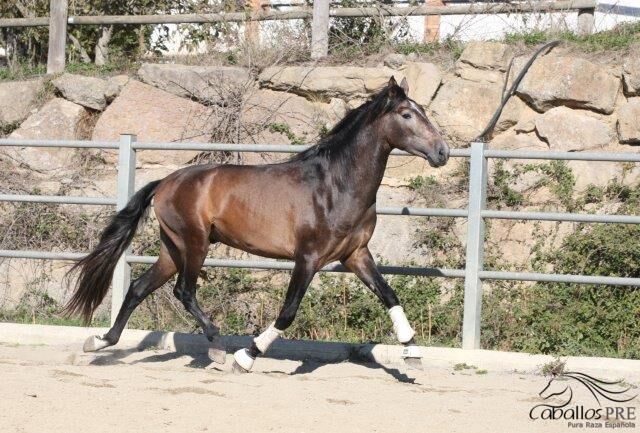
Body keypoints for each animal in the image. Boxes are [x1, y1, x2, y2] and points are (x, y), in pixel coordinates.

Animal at [62, 75, 448, 372]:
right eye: (407, 114)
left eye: (425, 112)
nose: (442, 152)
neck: (336, 184)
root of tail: (166, 182)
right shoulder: (308, 258)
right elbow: (288, 312)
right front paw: (247, 357)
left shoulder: (356, 255)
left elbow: (390, 295)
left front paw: (413, 354)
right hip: (195, 243)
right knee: (184, 291)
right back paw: (218, 347)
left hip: (173, 248)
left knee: (139, 288)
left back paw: (100, 342)